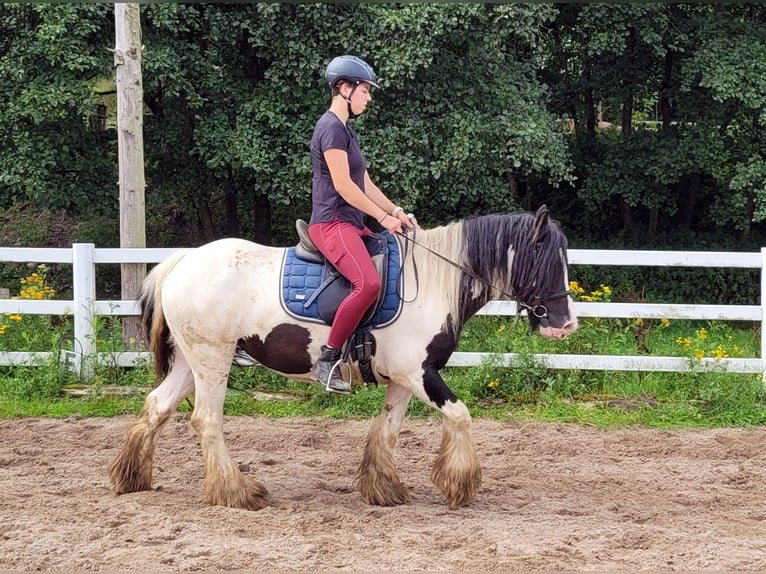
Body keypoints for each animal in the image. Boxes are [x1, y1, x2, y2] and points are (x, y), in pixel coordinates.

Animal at [106, 206, 576, 508]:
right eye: (546, 257)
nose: (566, 324)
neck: (432, 281)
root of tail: (183, 261)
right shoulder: (418, 372)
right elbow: (460, 416)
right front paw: (459, 485)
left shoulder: (403, 378)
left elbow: (387, 430)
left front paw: (384, 489)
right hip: (212, 359)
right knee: (206, 420)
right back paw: (236, 492)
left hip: (191, 361)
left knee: (156, 406)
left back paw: (132, 478)